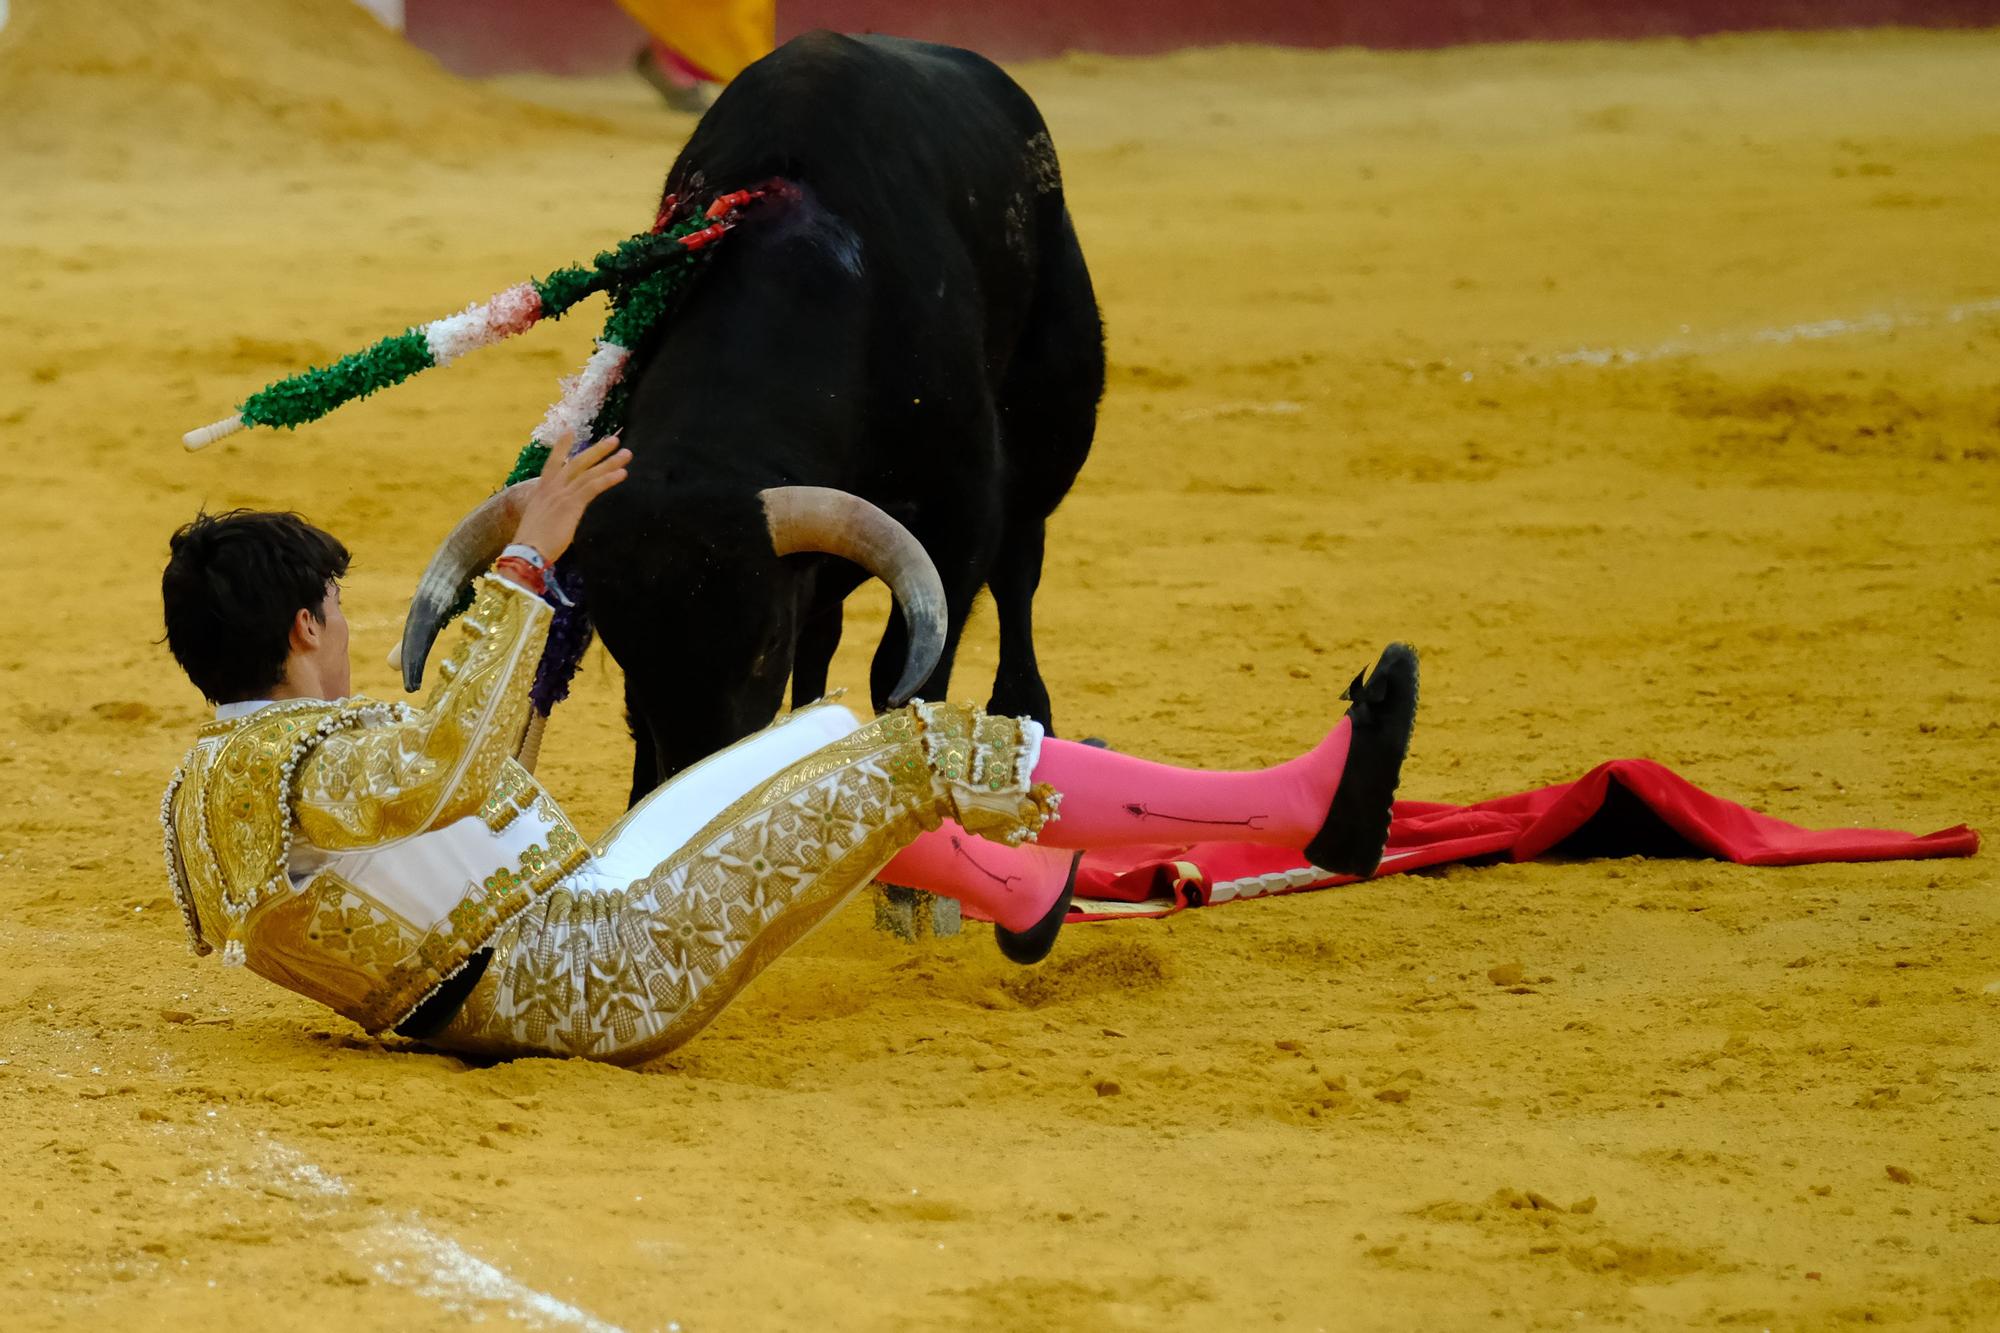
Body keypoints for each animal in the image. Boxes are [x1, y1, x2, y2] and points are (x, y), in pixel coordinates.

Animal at [422, 33, 1104, 800]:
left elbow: (905, 670)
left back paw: (1025, 706)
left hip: (1053, 429)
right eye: (626, 651)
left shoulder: (958, 520)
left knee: (1019, 567)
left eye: (762, 645)